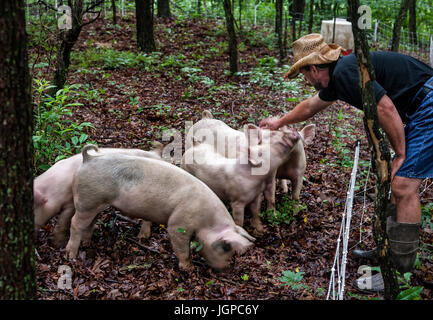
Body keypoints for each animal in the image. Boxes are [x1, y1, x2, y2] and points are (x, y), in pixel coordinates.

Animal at [64, 145, 253, 270]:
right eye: (226, 248)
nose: (226, 269)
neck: (206, 219)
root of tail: (89, 159)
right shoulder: (178, 224)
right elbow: (181, 247)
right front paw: (188, 268)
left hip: (94, 202)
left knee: (90, 222)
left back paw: (87, 243)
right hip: (87, 200)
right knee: (75, 223)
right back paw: (71, 255)